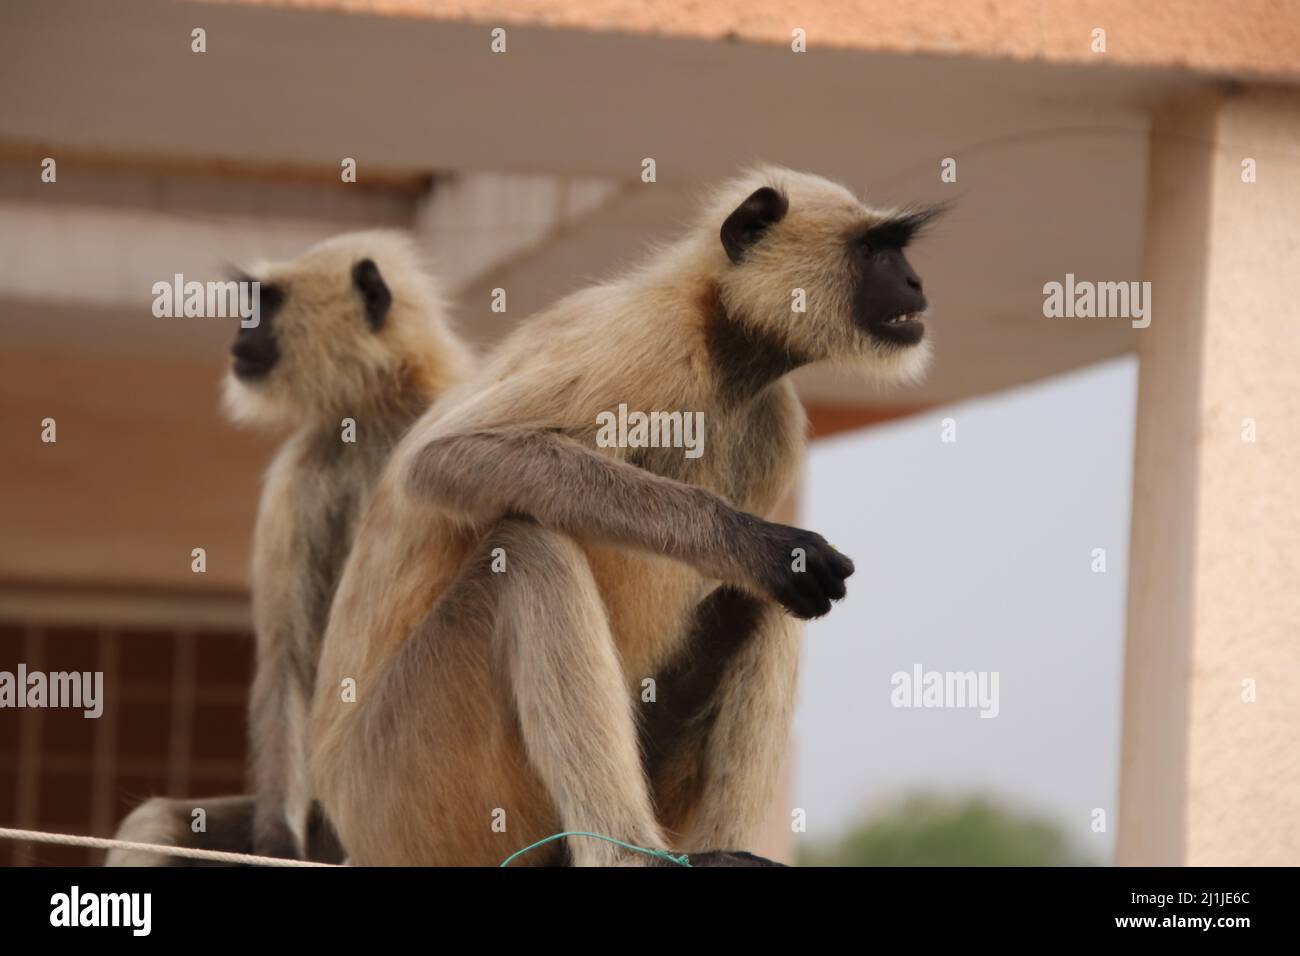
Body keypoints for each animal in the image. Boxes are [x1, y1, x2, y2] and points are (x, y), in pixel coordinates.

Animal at [106, 231, 473, 868]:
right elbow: (288, 659)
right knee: (154, 822)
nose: (240, 333)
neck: (378, 410)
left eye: (267, 304)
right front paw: (277, 838)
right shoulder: (301, 470)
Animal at [309, 166, 941, 868]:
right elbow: (445, 457)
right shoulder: (645, 336)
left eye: (898, 251)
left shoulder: (775, 420)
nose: (915, 283)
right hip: (406, 789)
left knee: (767, 603)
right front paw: (757, 544)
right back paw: (633, 853)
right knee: (528, 549)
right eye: (874, 250)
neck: (723, 335)